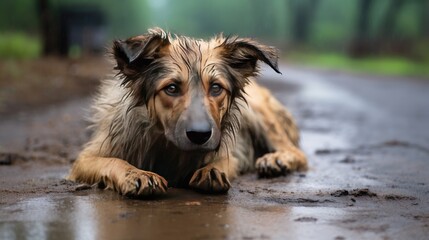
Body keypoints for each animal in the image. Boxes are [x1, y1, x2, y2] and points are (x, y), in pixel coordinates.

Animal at [67, 28, 308, 197]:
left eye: (216, 88)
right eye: (172, 88)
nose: (200, 136)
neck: (167, 148)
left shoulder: (229, 153)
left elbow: (223, 162)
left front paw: (211, 171)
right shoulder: (86, 159)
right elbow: (113, 161)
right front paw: (137, 173)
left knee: (297, 153)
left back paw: (276, 160)